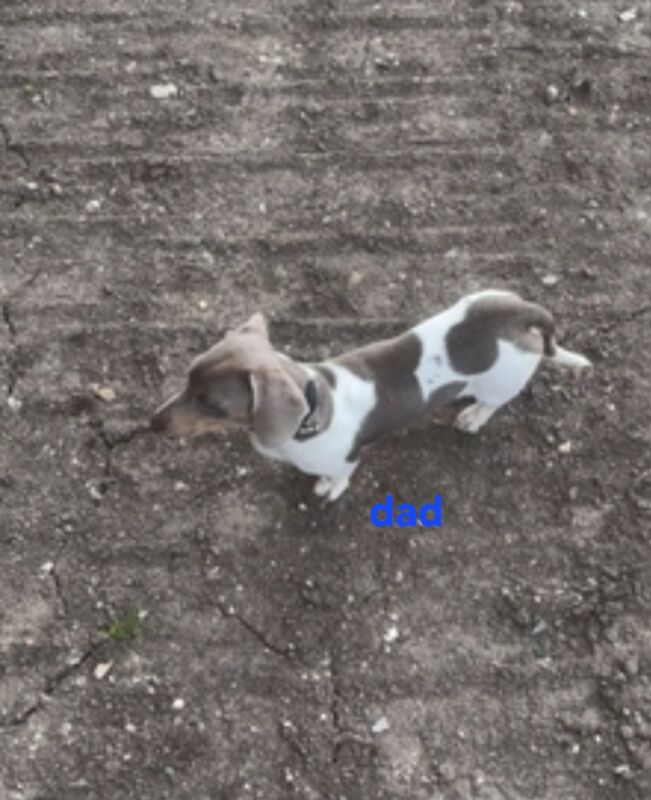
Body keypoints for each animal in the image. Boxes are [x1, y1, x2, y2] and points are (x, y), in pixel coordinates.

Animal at [150, 288, 592, 500]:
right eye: (188, 377)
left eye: (212, 405)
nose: (151, 424)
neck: (312, 411)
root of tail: (520, 313)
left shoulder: (346, 461)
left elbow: (338, 478)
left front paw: (328, 490)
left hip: (503, 383)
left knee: (492, 404)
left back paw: (472, 417)